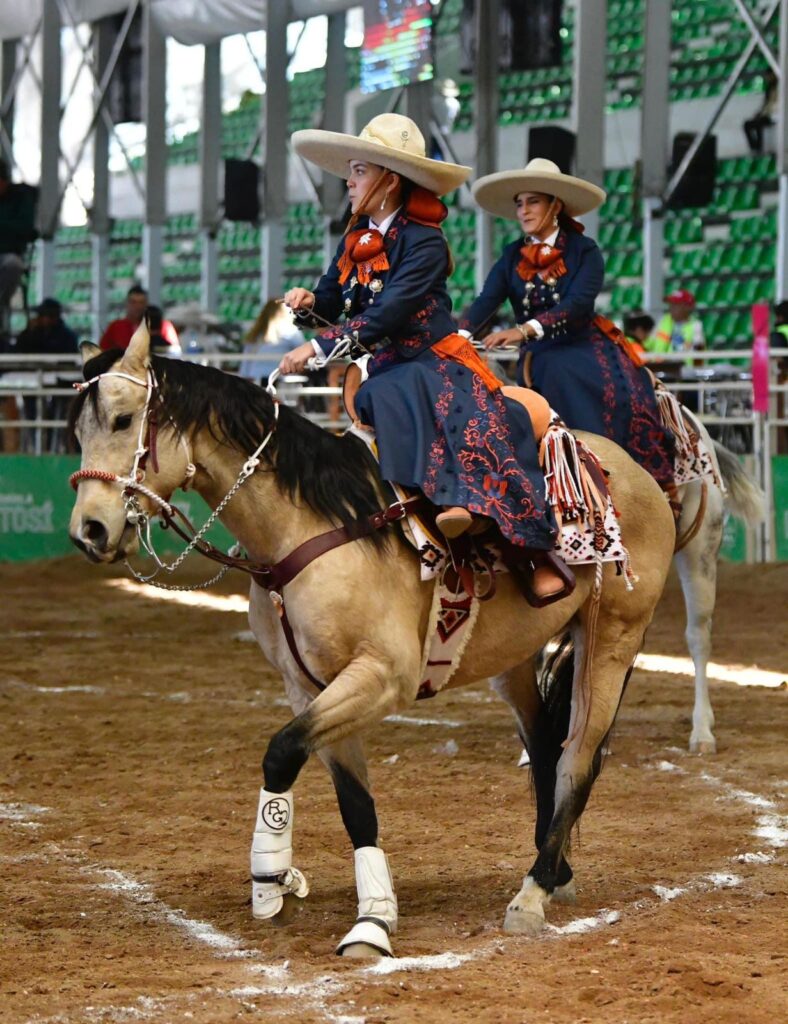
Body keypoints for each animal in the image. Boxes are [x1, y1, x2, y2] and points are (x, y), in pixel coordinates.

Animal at [68, 326, 675, 957]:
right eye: (78, 433)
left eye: (123, 419)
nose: (89, 530)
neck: (313, 525)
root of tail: (632, 469)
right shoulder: (310, 686)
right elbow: (353, 802)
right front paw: (367, 915)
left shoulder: (381, 677)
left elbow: (282, 750)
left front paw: (273, 876)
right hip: (515, 660)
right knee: (544, 750)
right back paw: (555, 873)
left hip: (611, 641)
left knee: (577, 761)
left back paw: (532, 894)